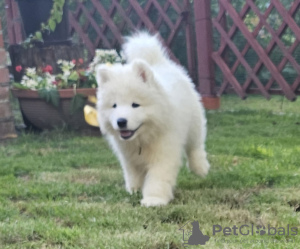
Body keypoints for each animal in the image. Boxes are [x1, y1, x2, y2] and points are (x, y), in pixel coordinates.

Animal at [97, 32, 210, 207]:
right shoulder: (129, 157)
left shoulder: (163, 153)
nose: (121, 121)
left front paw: (154, 199)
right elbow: (133, 174)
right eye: (114, 105)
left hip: (194, 124)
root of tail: (157, 63)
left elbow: (157, 178)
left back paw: (200, 168)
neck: (143, 138)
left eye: (135, 105)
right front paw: (134, 190)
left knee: (195, 146)